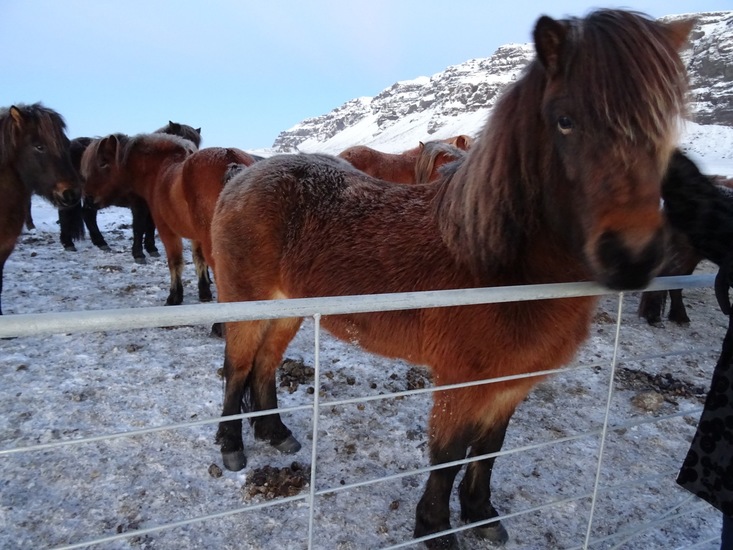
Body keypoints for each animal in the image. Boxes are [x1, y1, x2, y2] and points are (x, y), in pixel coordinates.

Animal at [57, 121, 202, 264]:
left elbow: (150, 225)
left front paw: (151, 248)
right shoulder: (138, 203)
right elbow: (139, 226)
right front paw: (138, 254)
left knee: (87, 214)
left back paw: (100, 243)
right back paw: (69, 243)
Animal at [81, 133, 257, 305]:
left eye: (103, 163)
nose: (88, 198)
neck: (160, 170)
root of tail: (230, 158)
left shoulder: (166, 230)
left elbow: (175, 261)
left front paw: (174, 296)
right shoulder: (195, 235)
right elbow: (198, 259)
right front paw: (204, 291)